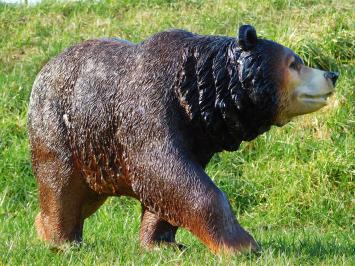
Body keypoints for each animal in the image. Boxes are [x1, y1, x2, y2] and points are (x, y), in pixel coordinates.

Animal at [27, 24, 340, 254]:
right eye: (294, 63)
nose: (332, 74)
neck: (195, 97)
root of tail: (44, 69)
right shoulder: (149, 108)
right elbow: (166, 171)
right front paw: (243, 244)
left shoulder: (195, 135)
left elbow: (168, 189)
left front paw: (163, 244)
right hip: (60, 125)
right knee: (60, 183)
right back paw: (63, 242)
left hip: (94, 152)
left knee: (84, 195)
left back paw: (42, 227)